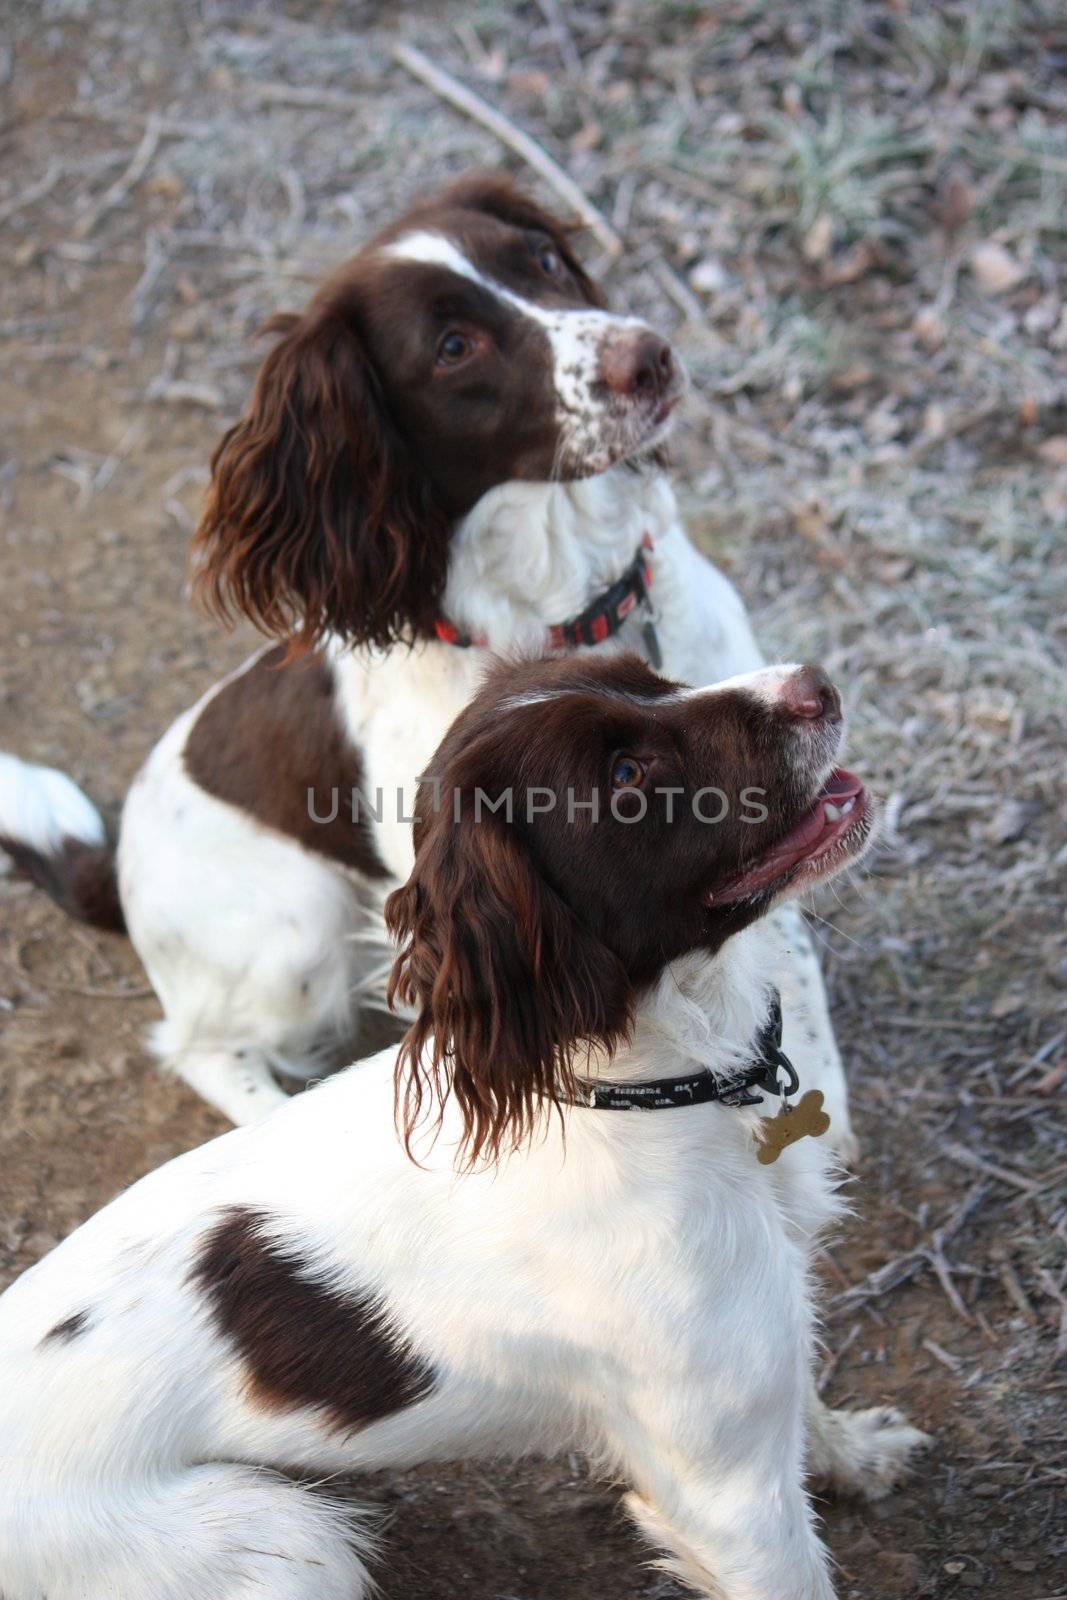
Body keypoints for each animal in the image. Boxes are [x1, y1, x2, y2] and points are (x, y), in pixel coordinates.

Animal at [0, 178, 857, 1152]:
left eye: (543, 260)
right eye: (453, 348)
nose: (650, 356)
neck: (566, 600)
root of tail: (116, 865)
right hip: (295, 929)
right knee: (199, 1047)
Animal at [0, 652, 921, 1600]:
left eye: (648, 672)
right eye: (626, 775)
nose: (813, 683)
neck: (652, 1091)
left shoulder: (766, 1318)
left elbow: (801, 1400)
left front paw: (851, 1453)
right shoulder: (725, 1489)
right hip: (287, 1544)